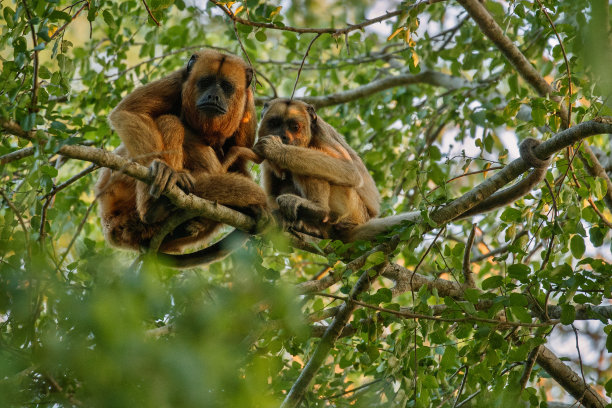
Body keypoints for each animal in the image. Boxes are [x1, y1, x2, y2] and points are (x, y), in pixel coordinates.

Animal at [96, 50, 268, 264]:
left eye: (226, 87)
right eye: (205, 82)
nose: (213, 96)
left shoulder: (248, 105)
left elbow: (239, 163)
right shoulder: (177, 80)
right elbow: (129, 112)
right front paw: (161, 168)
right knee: (170, 121)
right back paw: (155, 204)